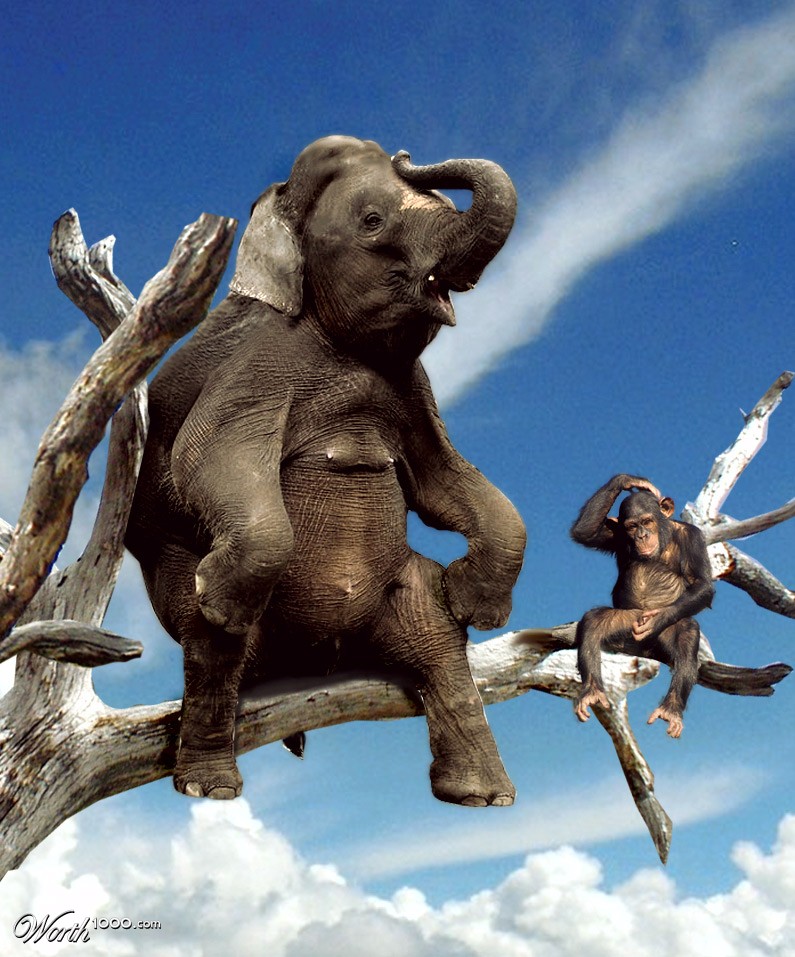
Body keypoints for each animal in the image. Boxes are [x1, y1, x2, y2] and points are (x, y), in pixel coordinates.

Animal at [126, 135, 527, 806]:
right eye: (372, 221)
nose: (408, 152)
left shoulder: (410, 388)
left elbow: (444, 478)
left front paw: (474, 602)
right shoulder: (259, 362)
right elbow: (204, 459)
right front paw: (222, 600)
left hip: (397, 591)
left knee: (437, 636)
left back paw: (483, 794)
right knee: (212, 647)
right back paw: (211, 788)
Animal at [570, 474, 714, 737]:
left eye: (647, 521)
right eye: (632, 526)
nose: (642, 535)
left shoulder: (694, 537)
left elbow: (703, 584)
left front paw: (655, 620)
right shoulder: (614, 534)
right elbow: (585, 531)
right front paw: (630, 481)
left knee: (687, 632)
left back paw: (671, 709)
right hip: (627, 620)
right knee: (594, 620)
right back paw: (593, 691)